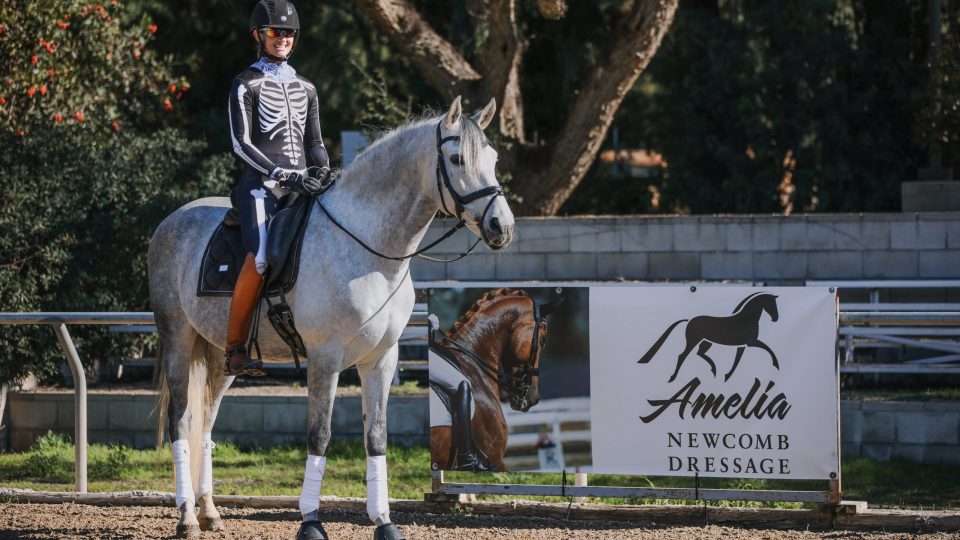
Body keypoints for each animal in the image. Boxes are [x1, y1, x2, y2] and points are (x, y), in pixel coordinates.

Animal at [148, 96, 513, 540]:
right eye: (458, 158)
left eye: (493, 159)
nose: (501, 226)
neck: (368, 246)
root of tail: (172, 220)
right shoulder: (325, 358)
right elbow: (319, 436)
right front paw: (310, 522)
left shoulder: (381, 359)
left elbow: (376, 437)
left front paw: (384, 521)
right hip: (178, 337)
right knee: (181, 420)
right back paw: (186, 516)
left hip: (221, 356)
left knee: (206, 421)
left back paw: (210, 512)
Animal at [637, 292, 780, 383]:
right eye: (772, 304)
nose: (776, 318)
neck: (746, 318)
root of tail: (689, 320)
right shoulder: (751, 342)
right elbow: (767, 349)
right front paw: (776, 365)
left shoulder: (742, 345)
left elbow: (736, 361)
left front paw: (727, 376)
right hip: (693, 341)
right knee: (683, 356)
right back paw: (673, 377)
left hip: (706, 342)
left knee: (700, 353)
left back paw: (714, 369)